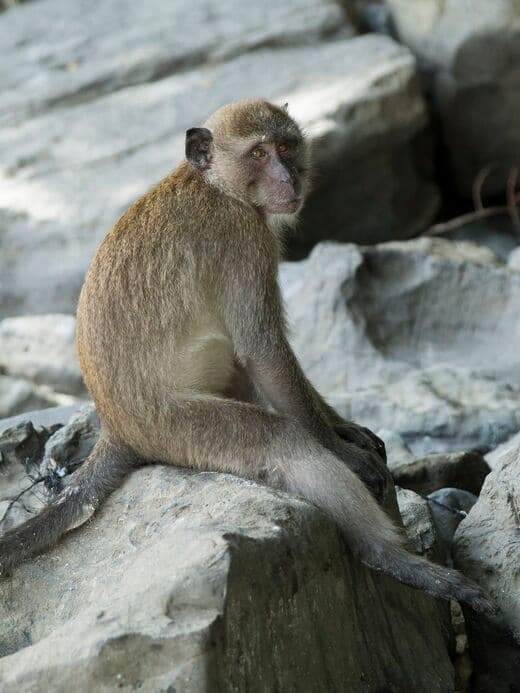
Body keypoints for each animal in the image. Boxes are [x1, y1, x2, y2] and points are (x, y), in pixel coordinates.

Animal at [0, 99, 493, 615]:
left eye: (286, 147)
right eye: (258, 152)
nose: (288, 178)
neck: (216, 185)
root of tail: (115, 426)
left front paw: (343, 426)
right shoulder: (242, 238)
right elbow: (263, 349)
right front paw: (341, 448)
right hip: (173, 428)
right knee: (280, 439)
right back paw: (387, 556)